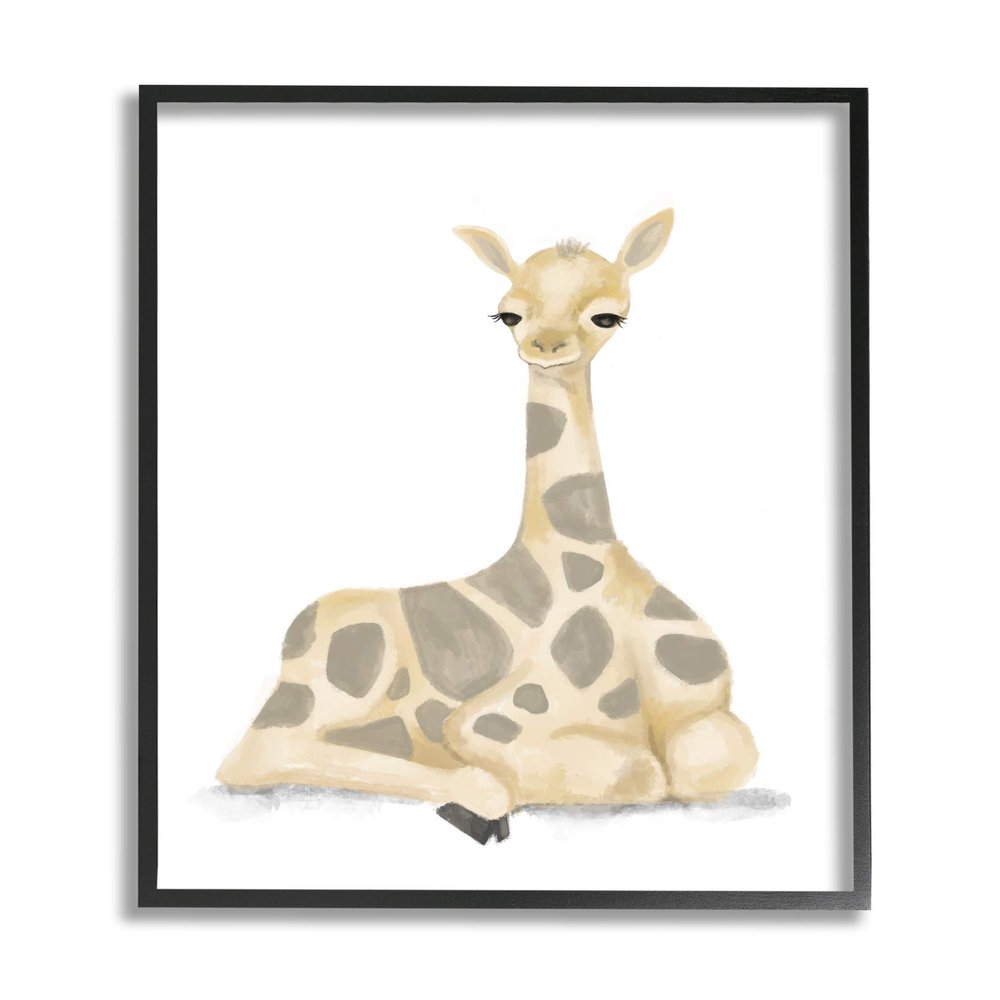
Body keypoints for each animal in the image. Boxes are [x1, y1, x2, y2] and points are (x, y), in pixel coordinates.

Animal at [216, 208, 758, 843]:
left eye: (606, 315)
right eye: (509, 313)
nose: (544, 346)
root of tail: (293, 638)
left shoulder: (709, 709)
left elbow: (714, 758)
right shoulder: (490, 720)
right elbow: (638, 772)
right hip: (326, 692)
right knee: (255, 754)